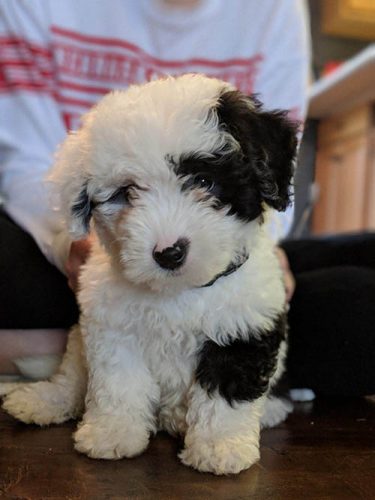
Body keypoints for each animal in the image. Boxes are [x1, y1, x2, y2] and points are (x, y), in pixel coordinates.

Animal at [1, 75, 298, 476]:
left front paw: (220, 446)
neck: (180, 291)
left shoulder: (244, 326)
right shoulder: (112, 327)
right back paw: (42, 399)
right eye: (127, 193)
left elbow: (226, 393)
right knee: (73, 376)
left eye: (204, 181)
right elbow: (118, 383)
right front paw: (114, 433)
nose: (169, 253)